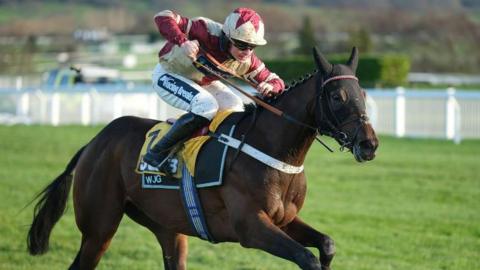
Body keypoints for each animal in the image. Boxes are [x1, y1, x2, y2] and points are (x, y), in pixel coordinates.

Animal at [27, 48, 378, 270]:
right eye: (337, 96)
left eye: (363, 95)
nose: (369, 144)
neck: (273, 152)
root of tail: (94, 142)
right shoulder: (251, 227)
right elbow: (307, 257)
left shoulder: (285, 220)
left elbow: (327, 245)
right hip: (99, 227)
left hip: (167, 228)